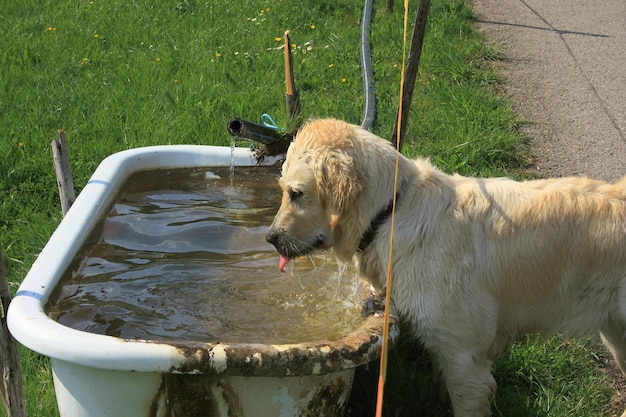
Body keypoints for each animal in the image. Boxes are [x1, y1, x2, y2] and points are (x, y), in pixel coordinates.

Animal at [264, 118, 624, 416]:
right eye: (282, 190)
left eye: (296, 193)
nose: (270, 238)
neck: (392, 212)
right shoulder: (445, 348)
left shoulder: (464, 358)